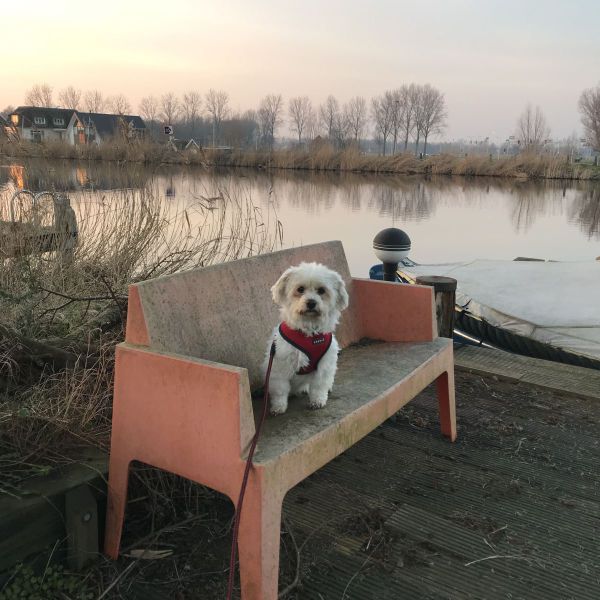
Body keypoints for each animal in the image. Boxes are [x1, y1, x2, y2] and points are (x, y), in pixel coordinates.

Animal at [264, 262, 350, 418]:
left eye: (321, 290)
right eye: (300, 289)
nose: (311, 302)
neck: (309, 332)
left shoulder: (324, 365)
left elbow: (319, 386)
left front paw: (317, 401)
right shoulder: (279, 366)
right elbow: (280, 390)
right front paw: (279, 406)